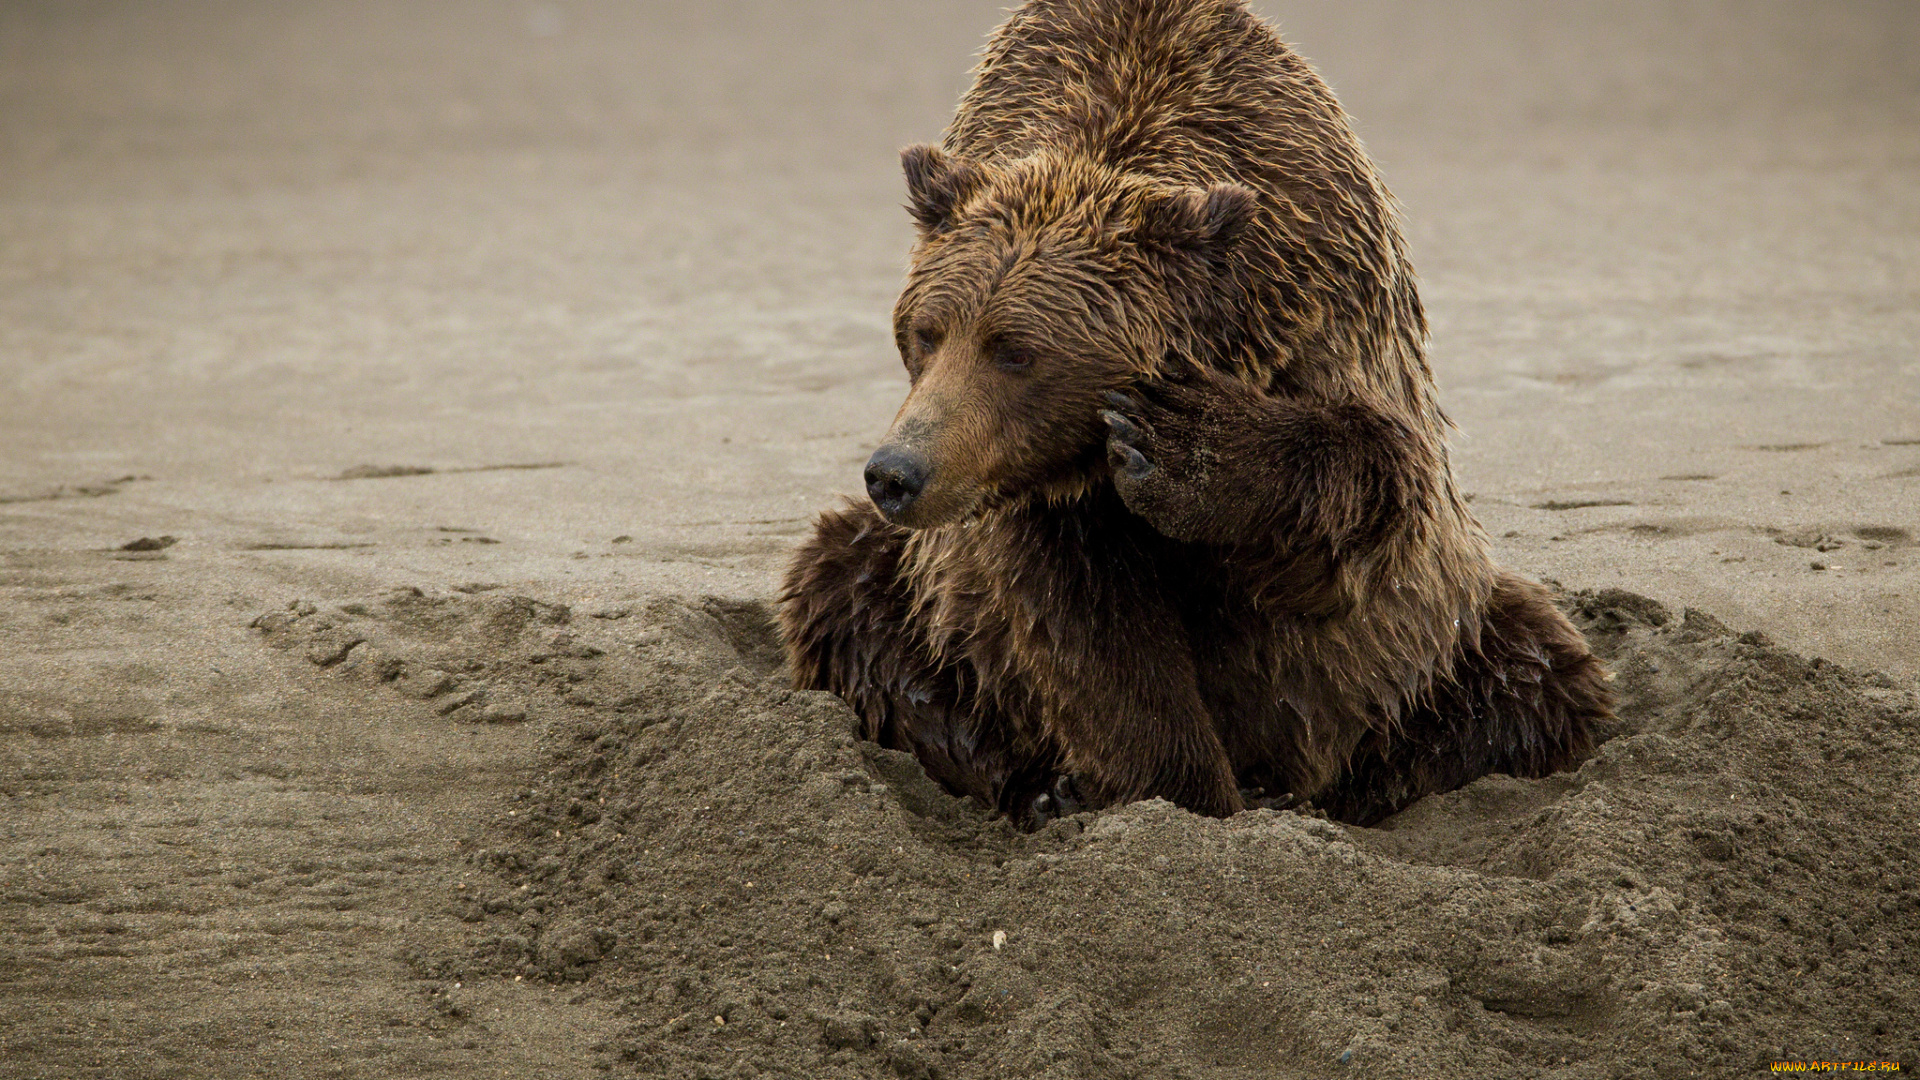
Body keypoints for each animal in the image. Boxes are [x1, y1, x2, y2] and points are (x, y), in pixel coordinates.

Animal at [775, 0, 1605, 822]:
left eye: (1014, 350)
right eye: (925, 331)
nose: (897, 472)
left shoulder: (1322, 304)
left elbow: (1366, 493)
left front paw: (1182, 447)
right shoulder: (1041, 499)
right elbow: (1089, 628)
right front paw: (1181, 789)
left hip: (1438, 644)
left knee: (1535, 678)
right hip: (921, 599)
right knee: (843, 588)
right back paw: (1043, 787)